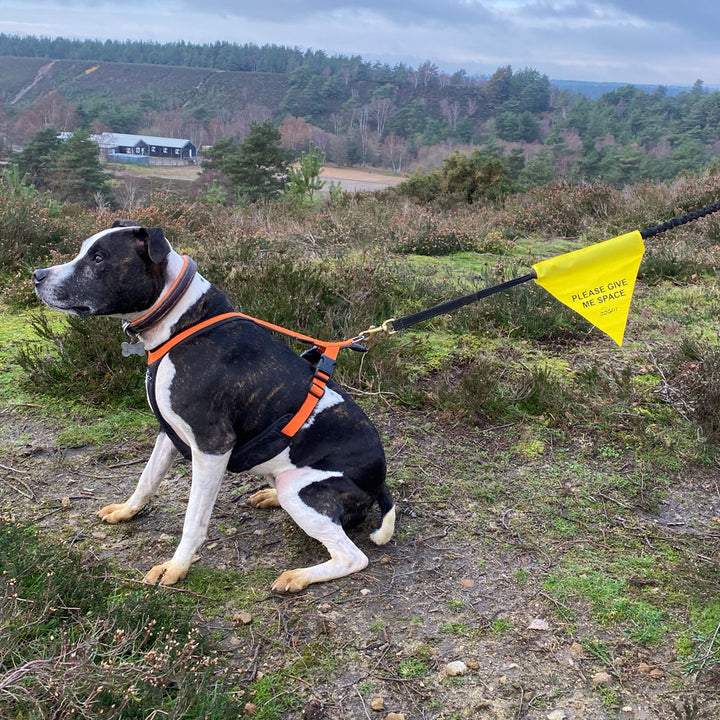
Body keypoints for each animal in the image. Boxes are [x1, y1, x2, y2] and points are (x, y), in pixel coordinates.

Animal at [32, 221, 394, 592]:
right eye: (83, 250)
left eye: (99, 257)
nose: (37, 275)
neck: (182, 321)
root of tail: (379, 484)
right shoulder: (169, 432)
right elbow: (147, 479)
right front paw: (127, 511)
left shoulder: (212, 446)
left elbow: (194, 518)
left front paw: (177, 566)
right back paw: (270, 496)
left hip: (302, 489)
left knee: (352, 556)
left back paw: (298, 576)